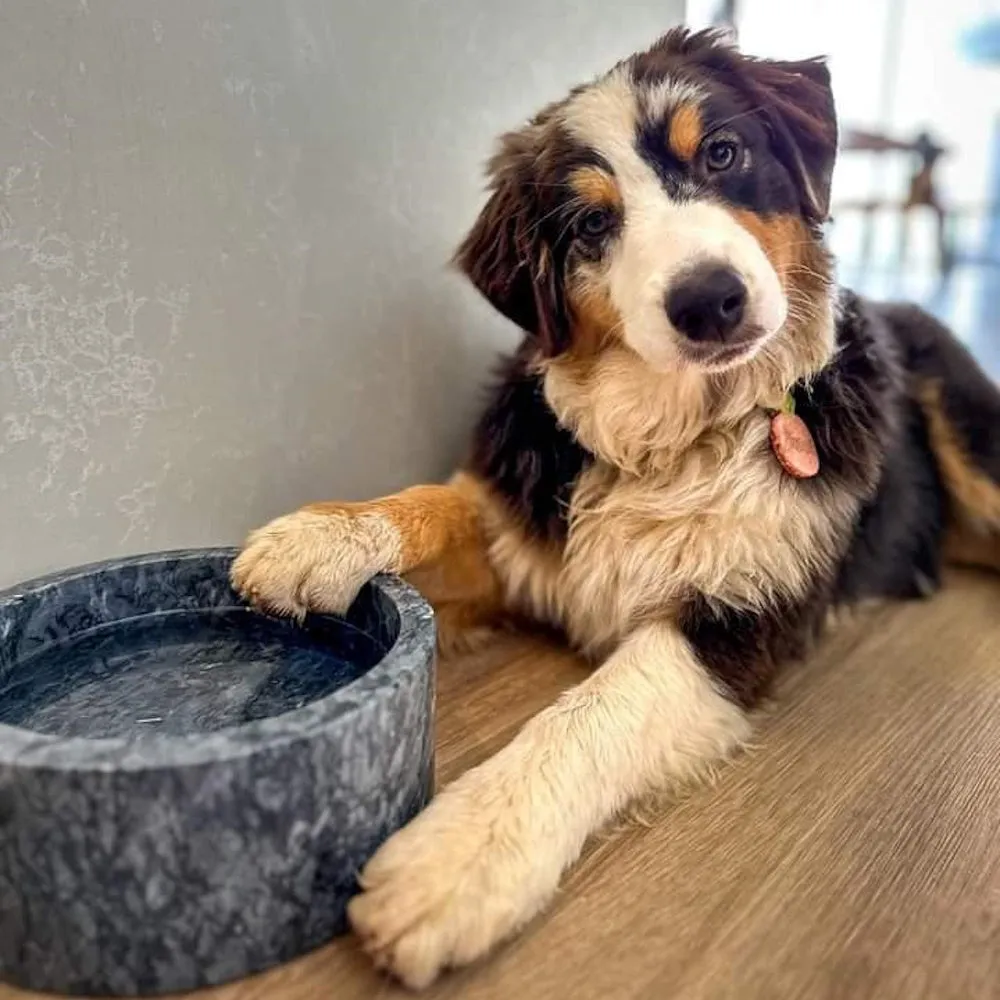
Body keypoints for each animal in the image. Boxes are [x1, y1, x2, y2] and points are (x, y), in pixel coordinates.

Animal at [229, 27, 1000, 988]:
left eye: (721, 154)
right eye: (593, 223)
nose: (710, 300)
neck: (681, 433)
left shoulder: (733, 623)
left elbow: (594, 711)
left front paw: (463, 853)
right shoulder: (524, 526)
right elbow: (437, 503)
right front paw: (318, 538)